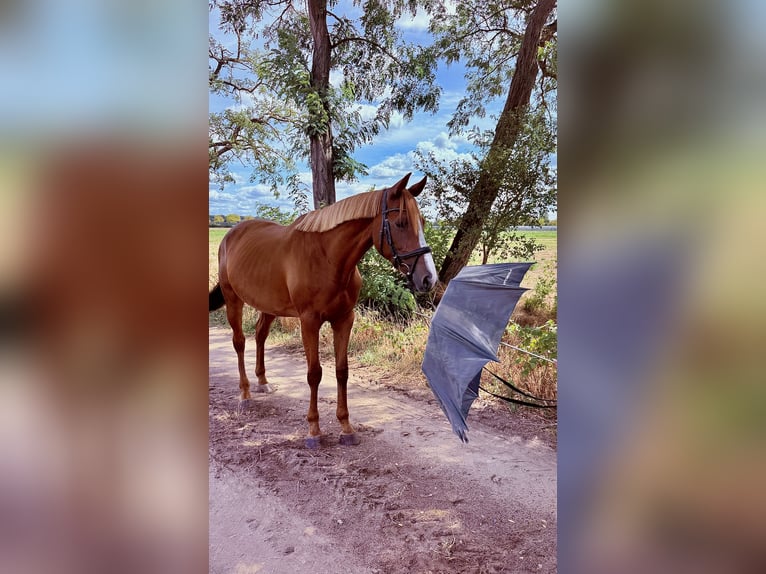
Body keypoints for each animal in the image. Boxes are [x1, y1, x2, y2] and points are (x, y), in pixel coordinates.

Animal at [209, 173, 436, 448]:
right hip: (234, 300)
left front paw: (346, 427)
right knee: (240, 342)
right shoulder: (309, 322)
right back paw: (245, 394)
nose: (428, 278)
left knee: (260, 334)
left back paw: (263, 382)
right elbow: (314, 373)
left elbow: (341, 371)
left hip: (269, 306)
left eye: (422, 222)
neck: (328, 258)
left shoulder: (344, 319)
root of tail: (231, 235)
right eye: (401, 223)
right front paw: (314, 430)